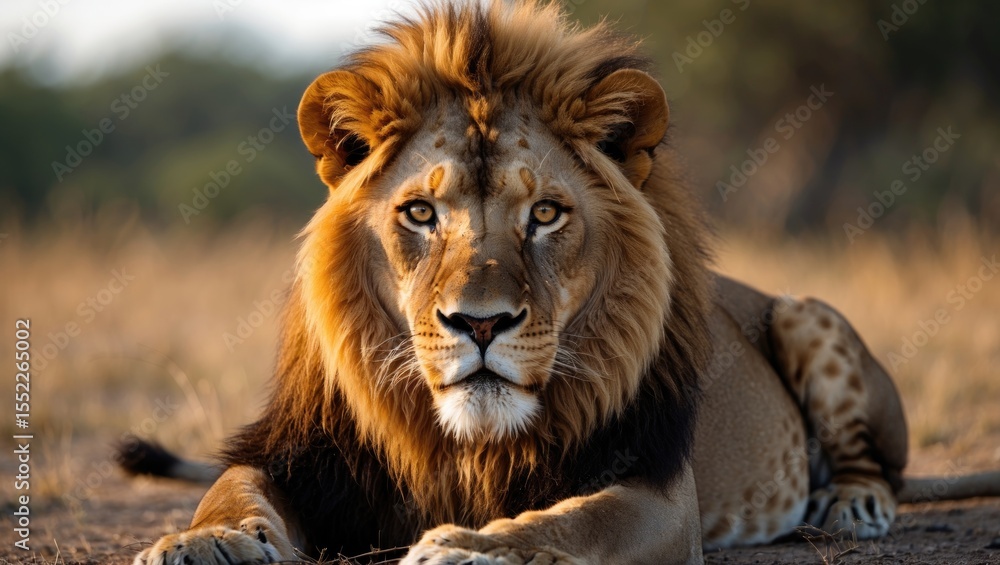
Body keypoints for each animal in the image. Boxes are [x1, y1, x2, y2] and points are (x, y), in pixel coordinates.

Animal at [126, 2, 1000, 564]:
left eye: (545, 213)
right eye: (420, 213)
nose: (480, 324)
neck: (466, 445)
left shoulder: (654, 488)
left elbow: (573, 522)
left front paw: (469, 546)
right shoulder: (301, 456)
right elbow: (232, 488)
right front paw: (202, 540)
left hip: (807, 312)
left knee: (881, 465)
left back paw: (849, 501)